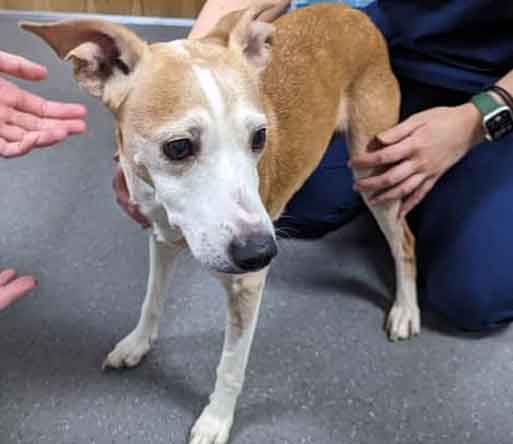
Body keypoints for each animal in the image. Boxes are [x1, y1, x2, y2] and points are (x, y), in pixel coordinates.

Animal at [22, 4, 418, 444]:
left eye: (260, 137)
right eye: (178, 147)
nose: (261, 252)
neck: (168, 212)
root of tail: (350, 11)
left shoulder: (248, 285)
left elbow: (230, 366)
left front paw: (216, 420)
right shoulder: (160, 239)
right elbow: (151, 299)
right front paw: (138, 343)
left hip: (374, 169)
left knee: (404, 239)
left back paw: (405, 310)